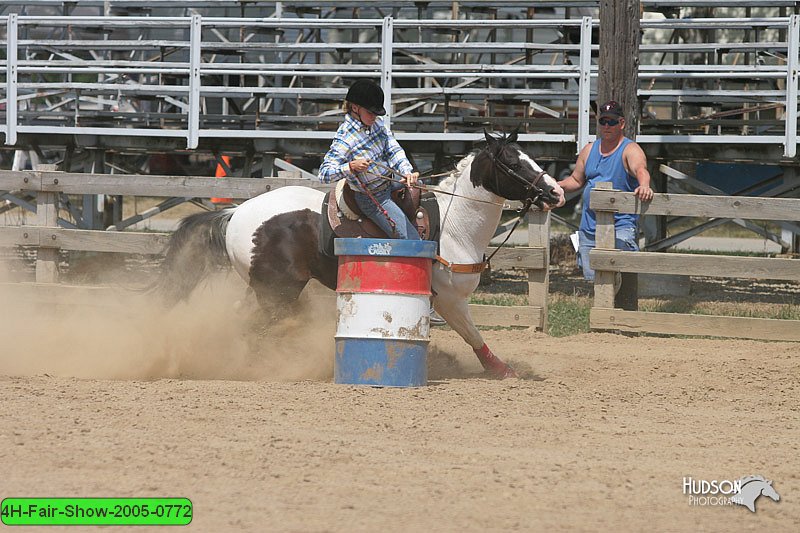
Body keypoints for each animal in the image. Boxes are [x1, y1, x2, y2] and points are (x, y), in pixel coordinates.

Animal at [152, 130, 564, 378]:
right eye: (514, 162)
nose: (557, 192)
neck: (454, 225)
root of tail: (235, 213)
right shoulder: (449, 298)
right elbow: (472, 333)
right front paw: (500, 370)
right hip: (279, 290)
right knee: (254, 324)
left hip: (265, 288)